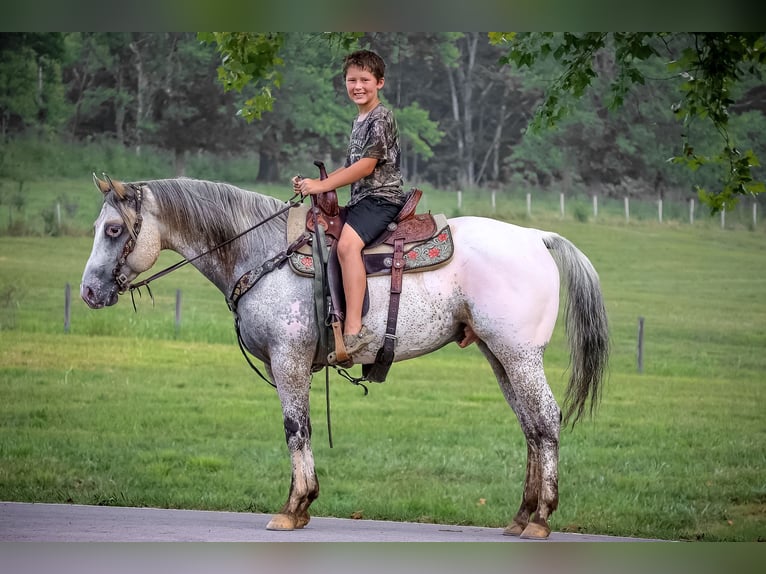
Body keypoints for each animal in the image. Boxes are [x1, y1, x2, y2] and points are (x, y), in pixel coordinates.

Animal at [80, 175, 609, 540]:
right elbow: (303, 429)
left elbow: (296, 429)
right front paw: (303, 504)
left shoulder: (288, 360)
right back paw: (521, 516)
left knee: (546, 419)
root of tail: (537, 236)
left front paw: (294, 506)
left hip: (519, 355)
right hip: (499, 356)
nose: (88, 291)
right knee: (531, 427)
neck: (260, 251)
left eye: (113, 229)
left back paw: (542, 518)